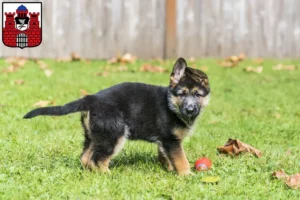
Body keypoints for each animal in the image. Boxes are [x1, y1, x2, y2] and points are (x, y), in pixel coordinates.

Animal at [24, 57, 209, 175]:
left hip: (96, 135)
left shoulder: (165, 142)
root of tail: (91, 98)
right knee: (98, 159)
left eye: (197, 95)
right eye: (182, 94)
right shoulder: (171, 141)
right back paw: (108, 174)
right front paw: (187, 175)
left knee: (85, 157)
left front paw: (170, 170)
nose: (190, 109)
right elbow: (181, 159)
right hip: (114, 135)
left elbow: (167, 157)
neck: (171, 104)